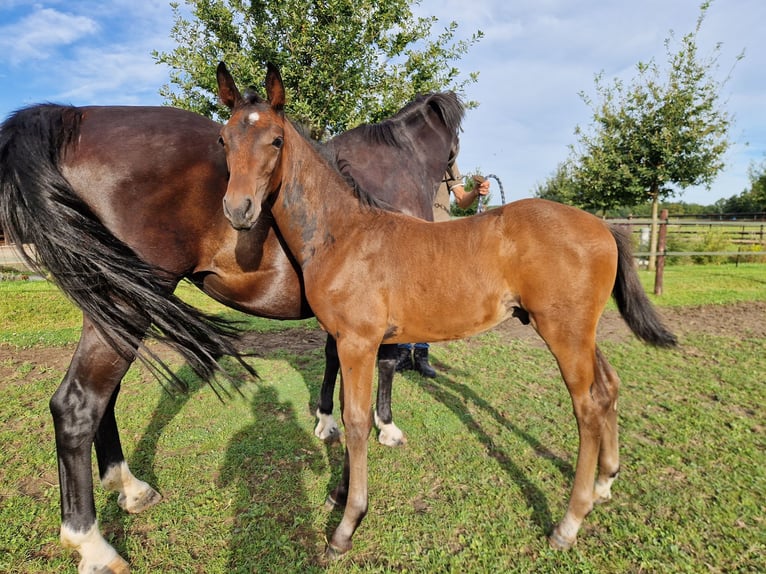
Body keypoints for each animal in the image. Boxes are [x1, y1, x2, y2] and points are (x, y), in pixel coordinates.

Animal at [0, 98, 460, 572]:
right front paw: (384, 427)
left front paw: (327, 421)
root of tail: (75, 116)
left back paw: (129, 487)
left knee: (104, 396)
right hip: (126, 301)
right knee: (78, 404)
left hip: (114, 302)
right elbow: (384, 364)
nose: (458, 192)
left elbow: (335, 362)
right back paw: (93, 545)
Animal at [216, 64, 680, 564]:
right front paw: (339, 494)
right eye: (224, 139)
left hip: (565, 332)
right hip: (582, 332)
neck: (344, 233)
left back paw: (569, 523)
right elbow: (345, 409)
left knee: (588, 407)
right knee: (608, 387)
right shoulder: (346, 340)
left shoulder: (358, 341)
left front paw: (347, 525)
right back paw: (604, 484)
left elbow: (357, 422)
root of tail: (604, 226)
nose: (238, 209)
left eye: (276, 140)